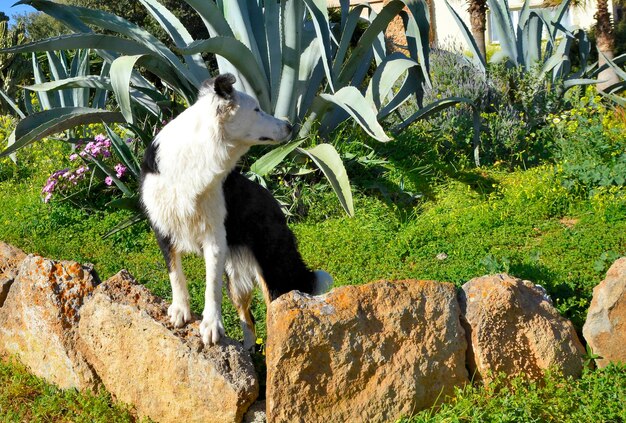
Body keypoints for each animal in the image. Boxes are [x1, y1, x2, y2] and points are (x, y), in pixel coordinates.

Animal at [138, 74, 332, 350]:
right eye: (257, 110)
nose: (289, 126)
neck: (197, 156)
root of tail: (276, 206)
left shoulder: (215, 236)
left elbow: (211, 286)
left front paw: (211, 325)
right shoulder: (163, 228)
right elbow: (175, 273)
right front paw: (180, 310)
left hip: (273, 269)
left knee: (277, 312)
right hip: (238, 278)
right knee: (248, 317)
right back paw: (249, 350)